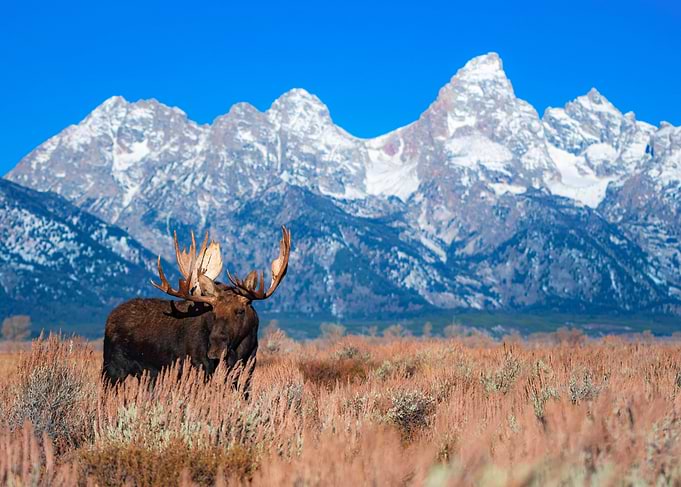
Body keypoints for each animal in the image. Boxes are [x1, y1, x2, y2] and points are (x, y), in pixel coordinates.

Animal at [102, 226, 291, 394]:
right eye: (214, 312)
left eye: (240, 311)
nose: (216, 348)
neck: (241, 349)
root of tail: (109, 318)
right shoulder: (200, 365)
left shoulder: (249, 365)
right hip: (112, 368)